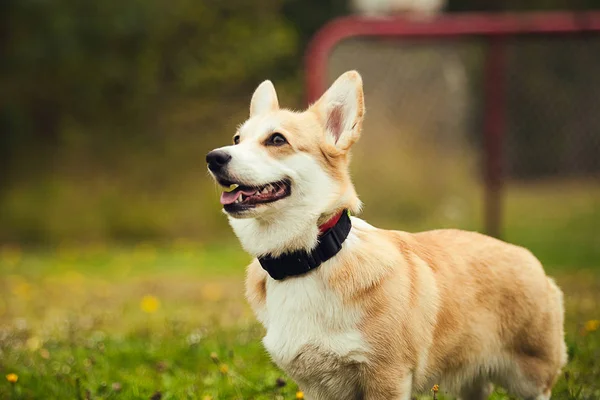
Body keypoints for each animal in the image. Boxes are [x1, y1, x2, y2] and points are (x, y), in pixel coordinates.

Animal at [206, 70, 568, 398]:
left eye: (277, 140)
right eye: (237, 140)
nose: (213, 158)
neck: (308, 258)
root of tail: (529, 258)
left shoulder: (387, 375)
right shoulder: (317, 386)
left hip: (531, 377)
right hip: (470, 380)